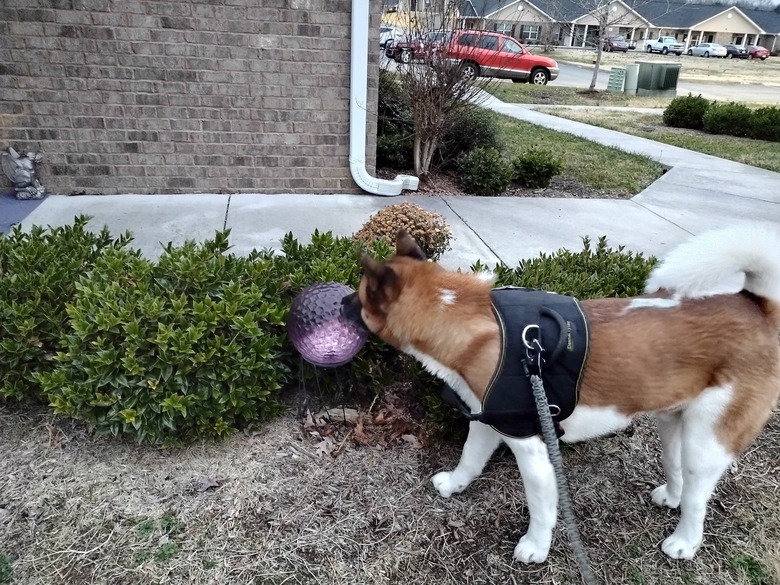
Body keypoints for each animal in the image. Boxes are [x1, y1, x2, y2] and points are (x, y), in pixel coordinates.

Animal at [344, 224, 780, 560]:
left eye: (358, 295)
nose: (337, 300)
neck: (469, 320)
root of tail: (755, 306)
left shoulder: (533, 449)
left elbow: (541, 508)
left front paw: (536, 546)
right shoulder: (488, 424)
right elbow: (469, 459)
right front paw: (455, 484)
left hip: (706, 443)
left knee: (697, 498)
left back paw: (684, 542)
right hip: (674, 425)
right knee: (678, 474)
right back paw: (671, 497)